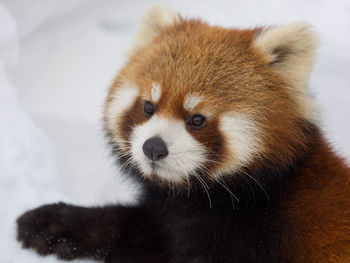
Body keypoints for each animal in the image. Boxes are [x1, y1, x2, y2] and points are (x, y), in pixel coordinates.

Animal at [16, 4, 350, 263]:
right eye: (148, 107)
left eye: (197, 119)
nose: (153, 147)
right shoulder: (169, 221)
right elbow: (131, 228)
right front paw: (57, 224)